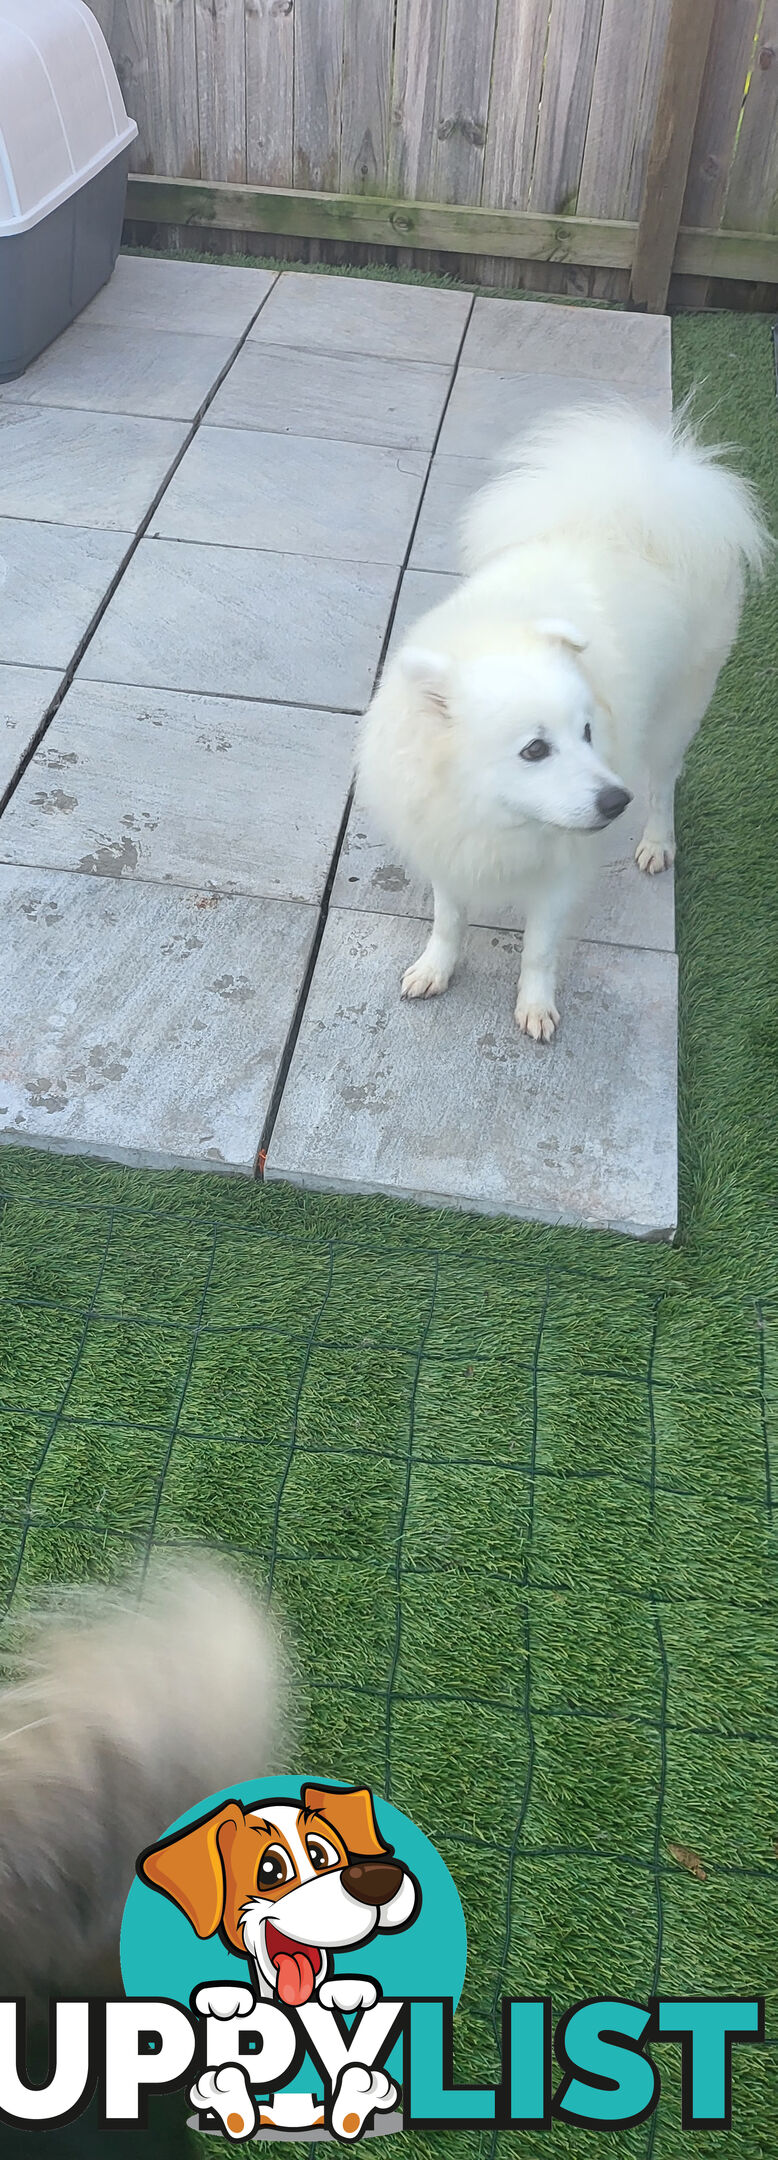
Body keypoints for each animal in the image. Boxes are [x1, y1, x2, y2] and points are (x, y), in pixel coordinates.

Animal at [356, 410, 765, 1045]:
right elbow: (448, 919)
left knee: (663, 784)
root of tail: (642, 500)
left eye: (588, 732)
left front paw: (536, 1007)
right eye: (534, 750)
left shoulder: (560, 870)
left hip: (678, 715)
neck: (494, 818)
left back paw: (656, 843)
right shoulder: (446, 841)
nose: (615, 801)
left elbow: (539, 949)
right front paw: (434, 969)